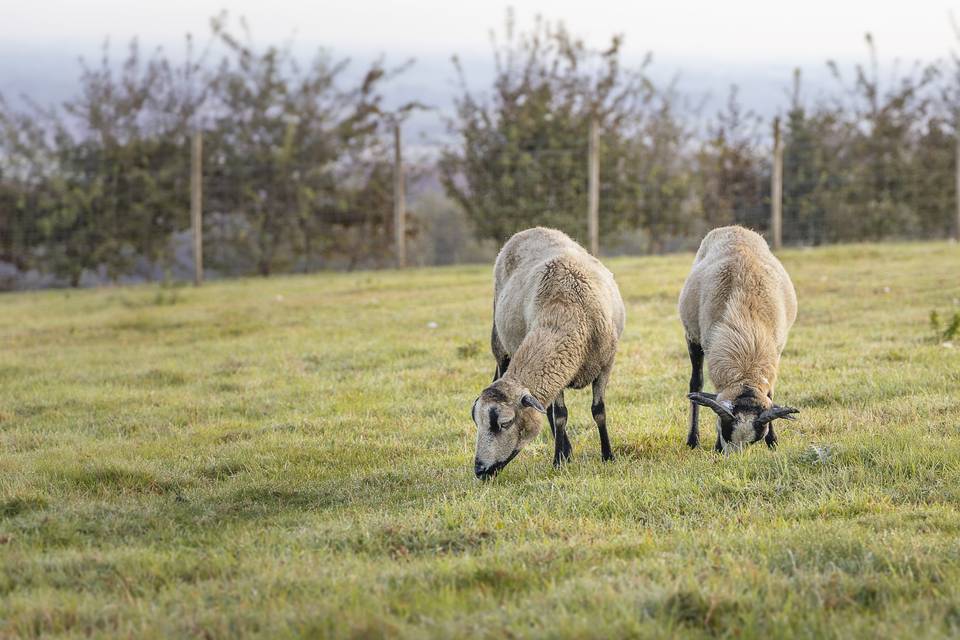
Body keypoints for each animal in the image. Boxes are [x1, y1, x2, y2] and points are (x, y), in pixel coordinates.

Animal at [474, 228, 632, 478]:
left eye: (504, 423)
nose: (479, 470)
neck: (567, 309)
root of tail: (530, 230)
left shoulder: (606, 365)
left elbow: (598, 411)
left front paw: (608, 455)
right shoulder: (558, 370)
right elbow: (560, 416)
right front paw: (558, 460)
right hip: (499, 343)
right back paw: (565, 451)